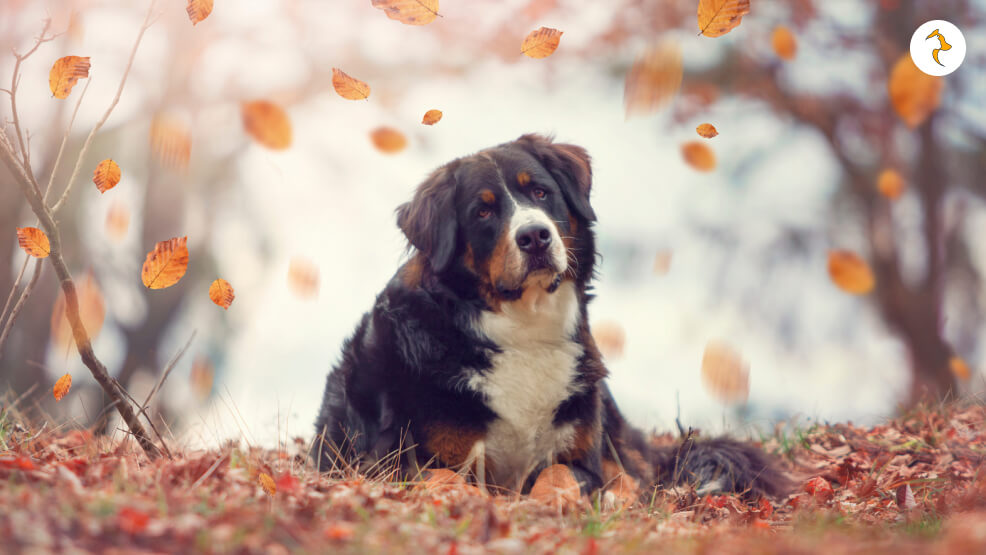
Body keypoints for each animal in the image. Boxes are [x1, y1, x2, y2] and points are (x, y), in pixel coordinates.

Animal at [312, 134, 788, 500]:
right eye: (483, 211)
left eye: (540, 192)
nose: (535, 236)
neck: (523, 328)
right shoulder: (394, 461)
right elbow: (445, 478)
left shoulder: (580, 452)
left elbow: (561, 474)